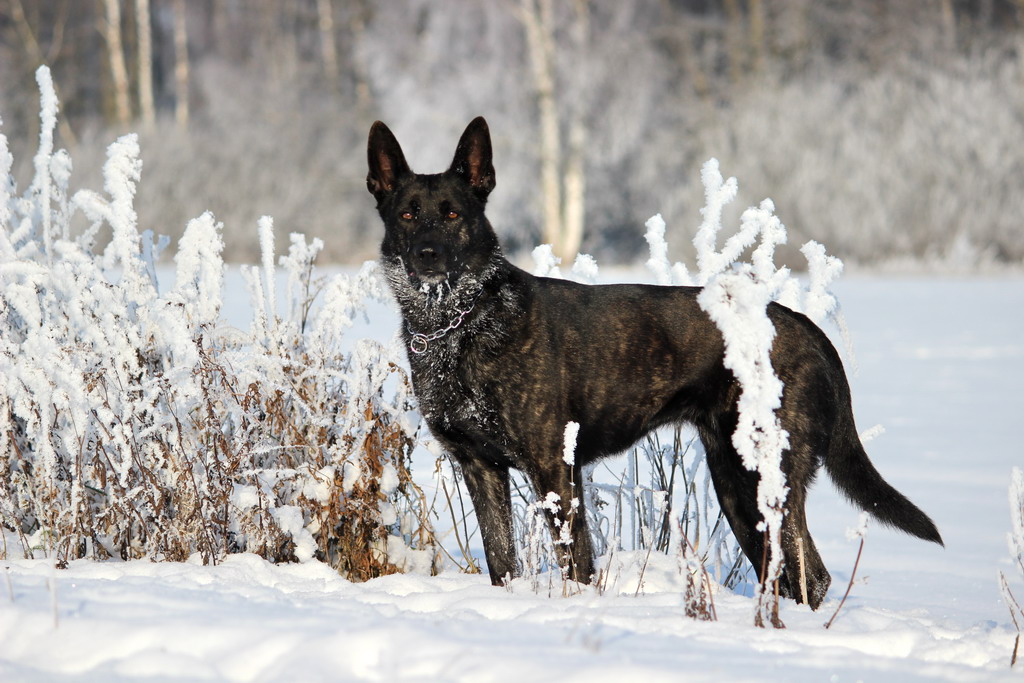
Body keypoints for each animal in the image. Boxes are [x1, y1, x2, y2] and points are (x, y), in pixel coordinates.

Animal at [364, 116, 937, 610]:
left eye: (453, 214)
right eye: (407, 214)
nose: (428, 255)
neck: (461, 321)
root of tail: (806, 327)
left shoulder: (554, 469)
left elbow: (576, 567)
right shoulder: (481, 468)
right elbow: (503, 565)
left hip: (765, 479)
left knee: (810, 576)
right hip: (736, 485)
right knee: (788, 575)